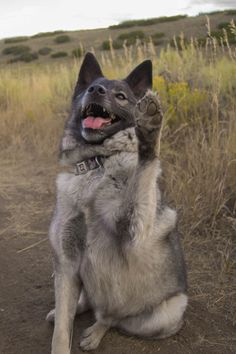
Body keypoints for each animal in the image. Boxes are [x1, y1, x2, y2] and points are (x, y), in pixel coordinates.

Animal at [47, 53, 188, 354]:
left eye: (120, 96)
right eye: (91, 88)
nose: (95, 90)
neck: (97, 164)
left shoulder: (135, 231)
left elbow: (145, 170)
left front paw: (149, 131)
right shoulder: (66, 264)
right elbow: (62, 330)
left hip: (162, 313)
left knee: (110, 317)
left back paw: (96, 330)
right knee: (87, 303)